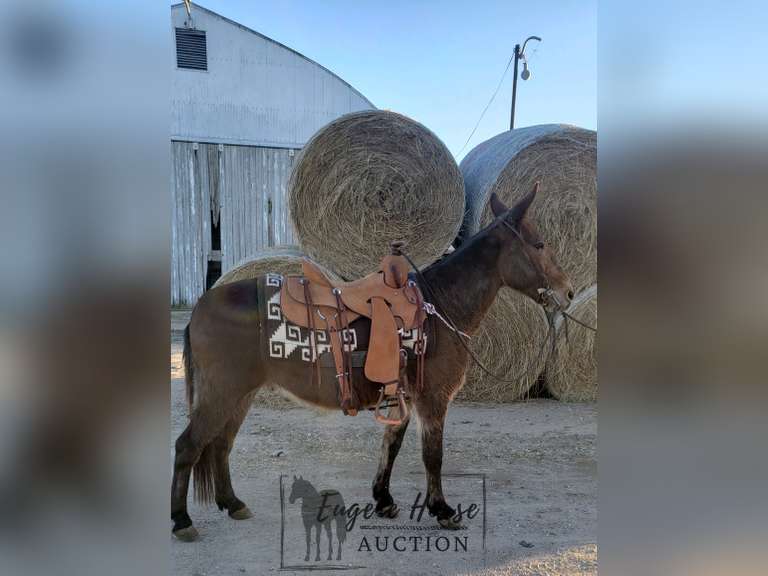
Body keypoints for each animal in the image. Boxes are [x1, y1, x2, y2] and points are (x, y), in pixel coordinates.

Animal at [171, 183, 574, 541]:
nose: (568, 292)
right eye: (540, 244)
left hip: (239, 396)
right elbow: (433, 455)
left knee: (221, 445)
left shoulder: (403, 397)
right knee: (188, 445)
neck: (439, 306)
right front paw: (442, 510)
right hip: (222, 394)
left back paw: (232, 503)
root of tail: (202, 307)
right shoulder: (432, 398)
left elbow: (390, 445)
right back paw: (181, 521)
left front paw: (383, 500)